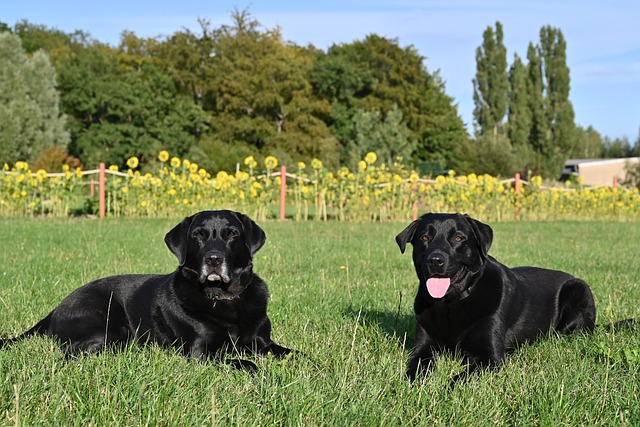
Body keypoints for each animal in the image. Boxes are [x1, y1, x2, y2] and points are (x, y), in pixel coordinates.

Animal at [0, 209, 290, 370]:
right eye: (198, 235)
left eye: (232, 234)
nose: (214, 259)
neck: (225, 298)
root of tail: (54, 310)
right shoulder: (201, 353)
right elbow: (246, 363)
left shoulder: (263, 342)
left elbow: (294, 354)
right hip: (112, 328)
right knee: (71, 352)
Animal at [396, 213, 600, 382]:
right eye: (424, 237)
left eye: (458, 238)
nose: (435, 261)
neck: (450, 303)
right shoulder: (422, 348)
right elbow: (415, 368)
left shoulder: (490, 358)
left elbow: (458, 379)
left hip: (578, 289)